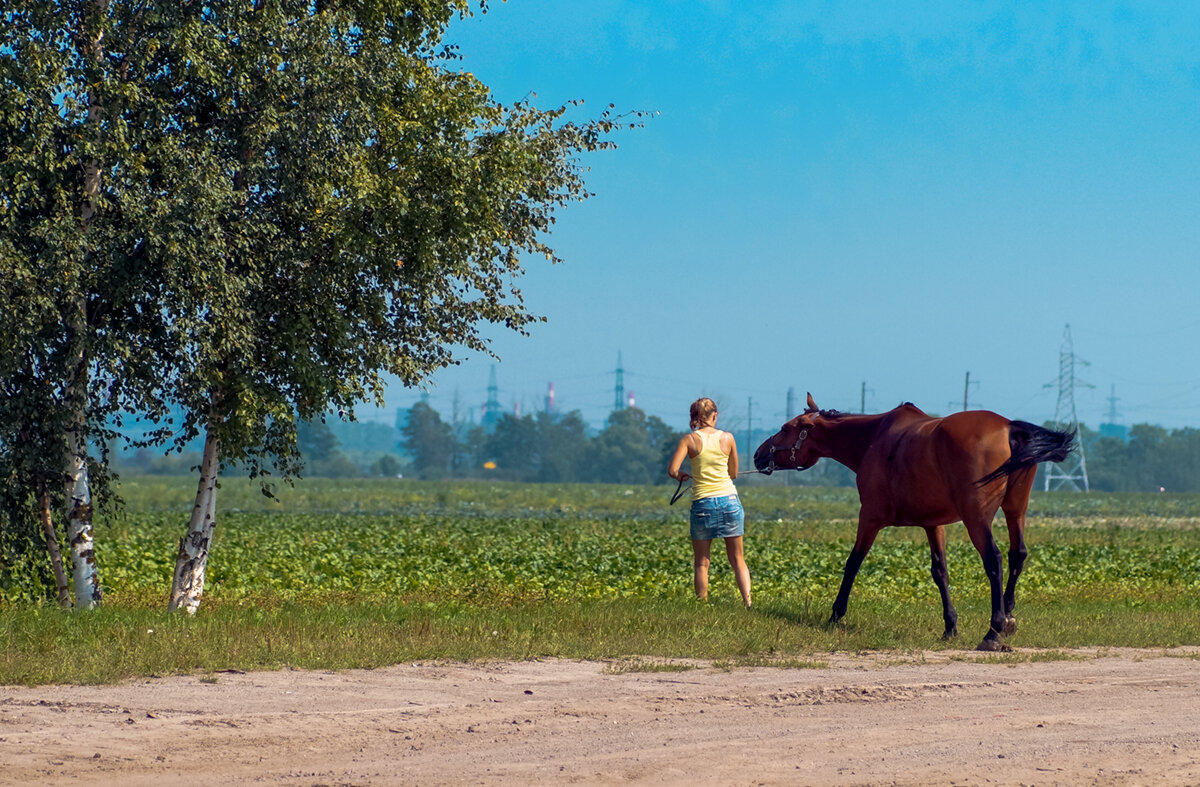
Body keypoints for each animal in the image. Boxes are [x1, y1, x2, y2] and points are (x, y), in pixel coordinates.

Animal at [748, 393, 1080, 652]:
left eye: (785, 428)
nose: (757, 454)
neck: (873, 439)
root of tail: (1010, 427)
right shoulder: (934, 525)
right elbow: (940, 572)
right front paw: (950, 627)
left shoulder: (870, 517)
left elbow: (853, 563)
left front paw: (835, 615)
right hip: (1015, 511)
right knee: (1017, 555)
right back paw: (1008, 616)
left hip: (977, 518)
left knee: (994, 560)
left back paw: (993, 630)